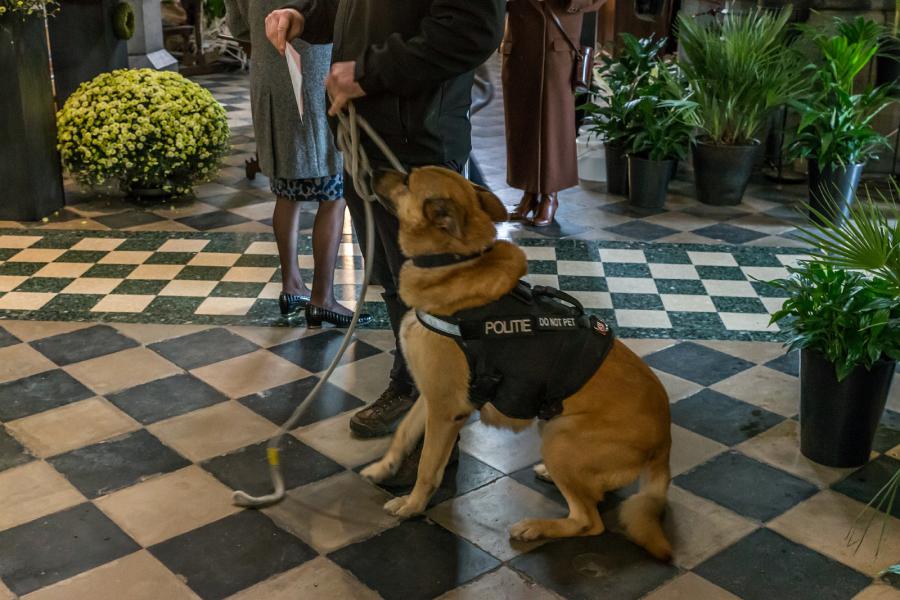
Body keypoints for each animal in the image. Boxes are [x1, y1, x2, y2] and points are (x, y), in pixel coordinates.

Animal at [362, 165, 672, 564]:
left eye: (406, 179)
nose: (371, 170)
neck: (453, 261)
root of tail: (664, 445)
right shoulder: (431, 397)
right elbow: (403, 434)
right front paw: (383, 468)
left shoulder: (446, 409)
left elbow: (429, 465)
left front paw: (413, 505)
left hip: (558, 436)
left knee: (589, 521)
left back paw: (538, 527)